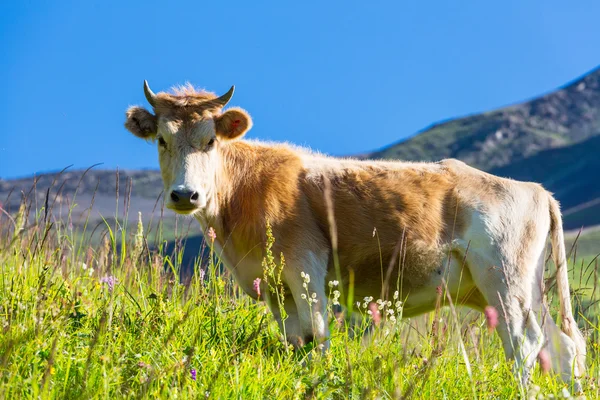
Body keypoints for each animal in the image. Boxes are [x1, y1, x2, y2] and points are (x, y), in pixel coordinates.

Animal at [124, 80, 588, 390]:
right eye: (162, 139)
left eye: (210, 140)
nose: (185, 194)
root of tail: (533, 188)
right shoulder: (272, 286)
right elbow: (295, 343)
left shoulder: (305, 268)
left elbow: (317, 337)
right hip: (526, 287)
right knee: (563, 347)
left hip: (504, 278)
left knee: (524, 345)